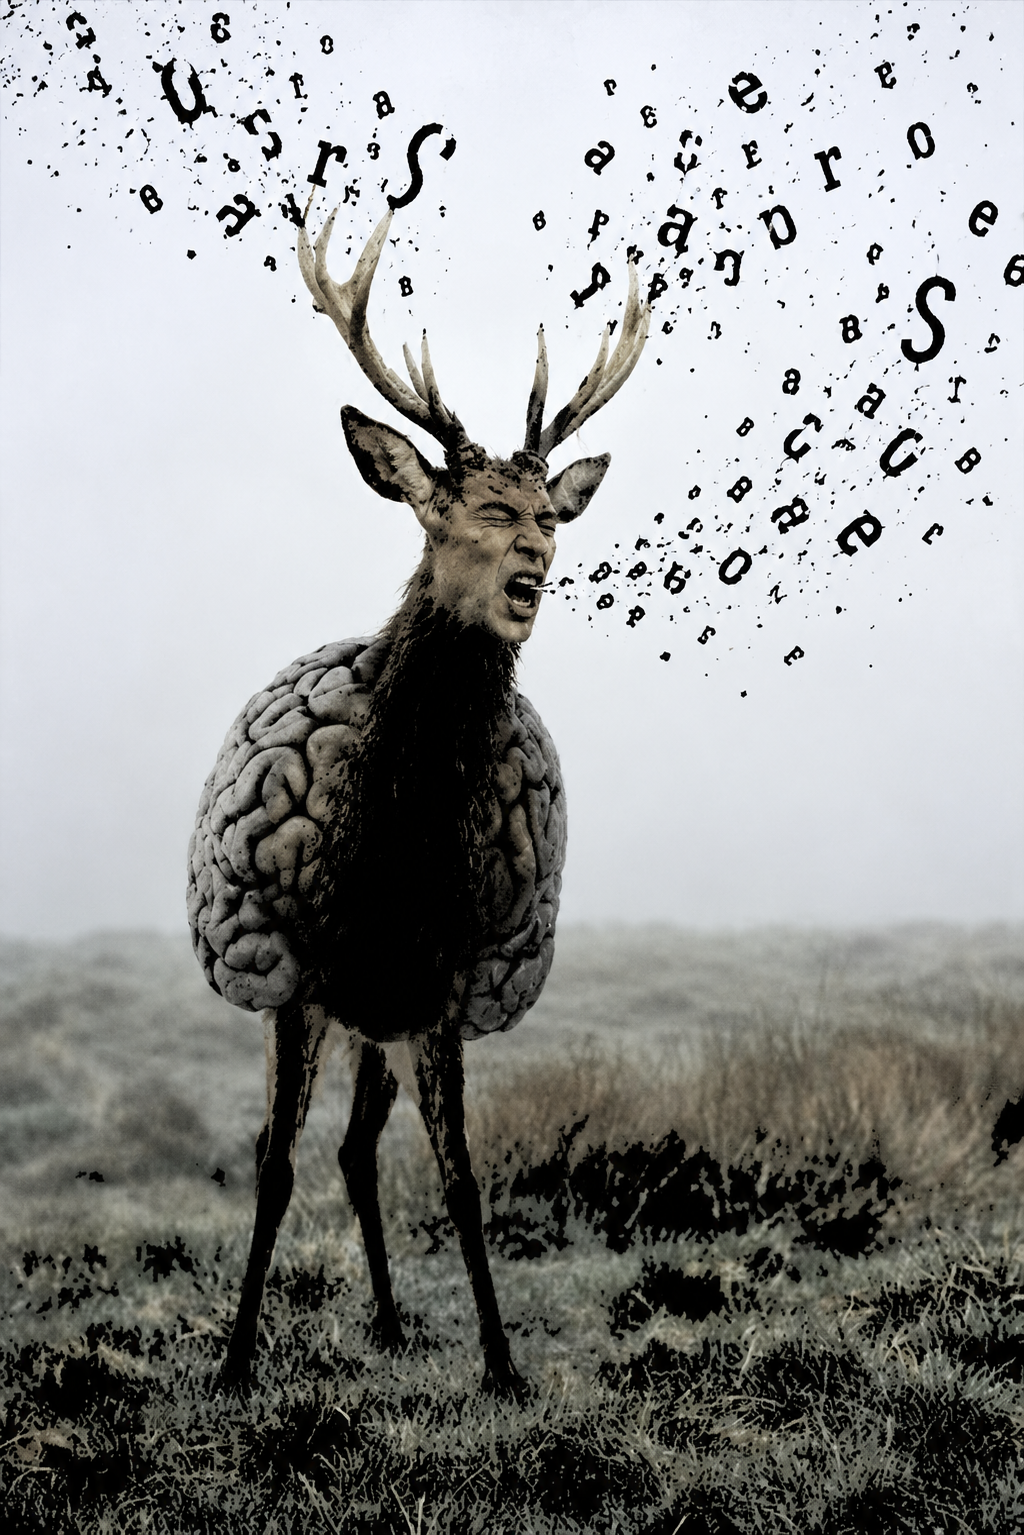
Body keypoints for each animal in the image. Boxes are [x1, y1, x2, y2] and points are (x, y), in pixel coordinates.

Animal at [187, 202, 650, 1400]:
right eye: (477, 505)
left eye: (548, 509)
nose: (536, 561)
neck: (389, 857)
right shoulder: (297, 969)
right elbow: (271, 1167)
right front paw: (235, 1362)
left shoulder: (443, 975)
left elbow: (461, 1175)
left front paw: (502, 1364)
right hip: (342, 1002)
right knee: (331, 1149)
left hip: (383, 1015)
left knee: (361, 1147)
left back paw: (394, 1322)